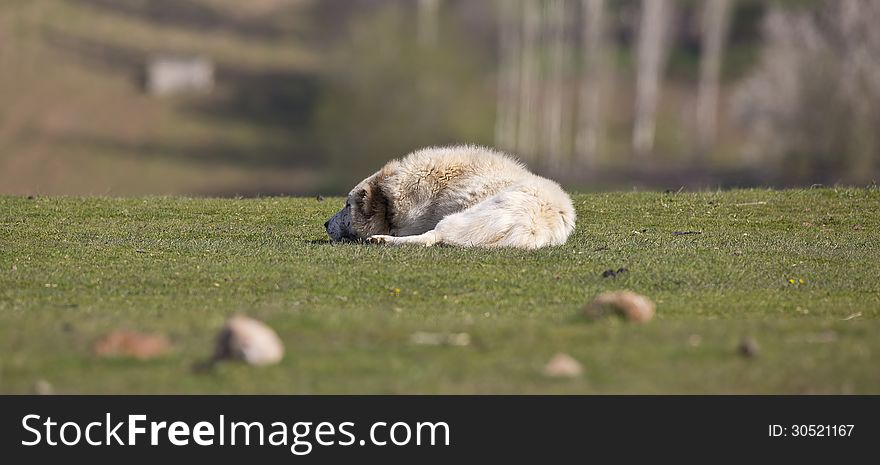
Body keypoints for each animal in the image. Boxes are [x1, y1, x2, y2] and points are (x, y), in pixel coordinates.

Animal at [324, 145, 576, 248]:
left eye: (347, 205)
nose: (325, 224)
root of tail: (535, 227)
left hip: (464, 219)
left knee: (431, 238)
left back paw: (381, 240)